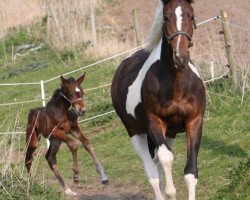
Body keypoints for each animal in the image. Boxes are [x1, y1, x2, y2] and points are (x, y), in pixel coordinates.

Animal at [111, 0, 205, 199]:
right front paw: (170, 192)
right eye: (166, 17)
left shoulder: (194, 121)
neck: (176, 86)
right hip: (136, 133)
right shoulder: (155, 123)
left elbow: (190, 172)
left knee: (156, 163)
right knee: (152, 172)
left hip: (170, 134)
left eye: (191, 16)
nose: (180, 57)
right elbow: (166, 160)